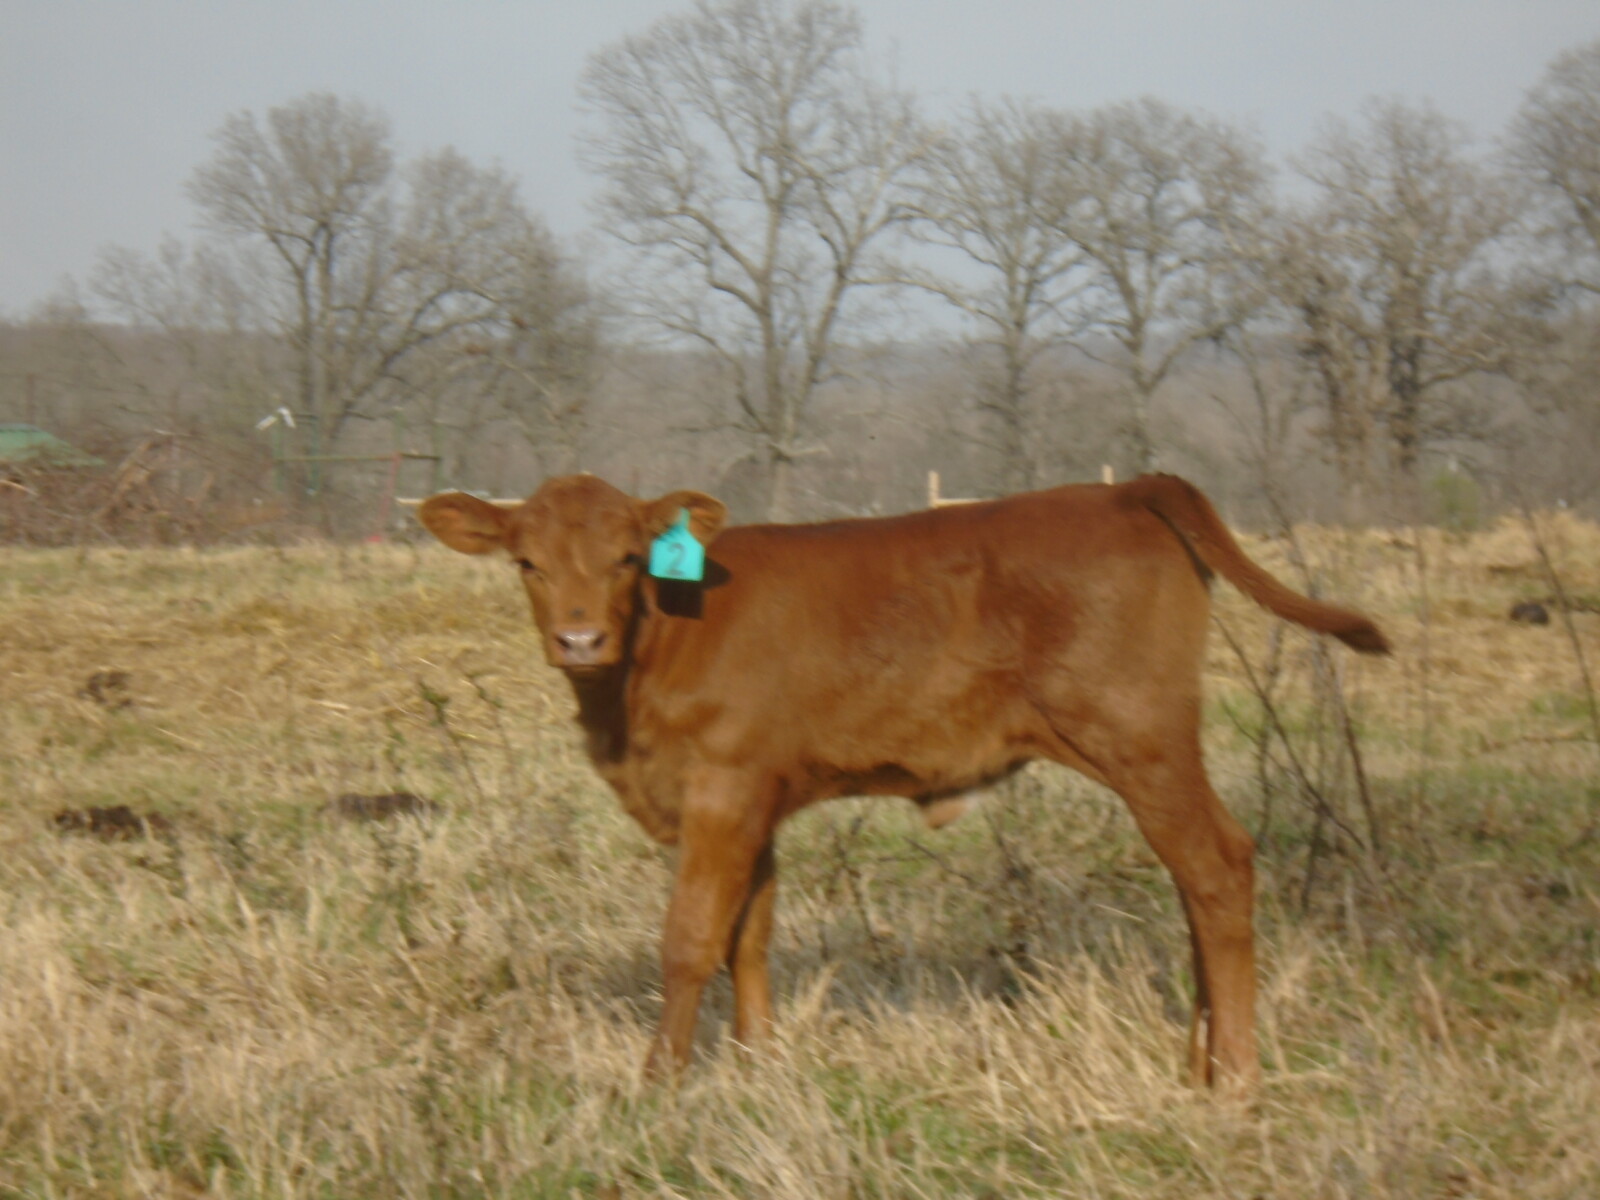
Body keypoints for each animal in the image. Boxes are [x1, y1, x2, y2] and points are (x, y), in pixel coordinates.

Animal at [418, 473, 1390, 1091]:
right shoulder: (759, 798)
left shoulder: (722, 789)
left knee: (1218, 869)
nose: (579, 639)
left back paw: (1235, 1082)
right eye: (527, 562)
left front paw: (658, 1084)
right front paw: (759, 1069)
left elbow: (690, 937)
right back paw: (1200, 1064)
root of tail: (1118, 489)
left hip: (1141, 737)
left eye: (628, 557)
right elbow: (749, 937)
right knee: (1196, 885)